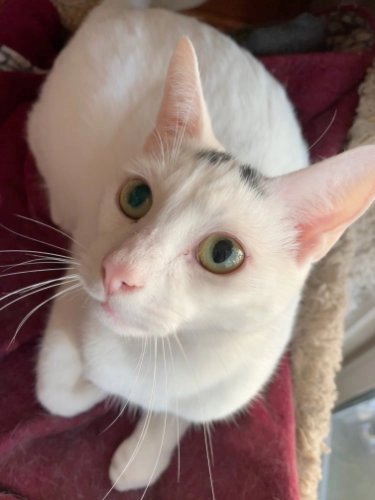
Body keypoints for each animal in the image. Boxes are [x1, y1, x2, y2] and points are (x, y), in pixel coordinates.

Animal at [27, 0, 375, 492]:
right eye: (136, 197)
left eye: (222, 254)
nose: (117, 270)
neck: (155, 349)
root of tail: (118, 10)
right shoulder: (75, 278)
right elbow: (57, 396)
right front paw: (94, 384)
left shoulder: (227, 388)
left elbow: (180, 413)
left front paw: (142, 456)